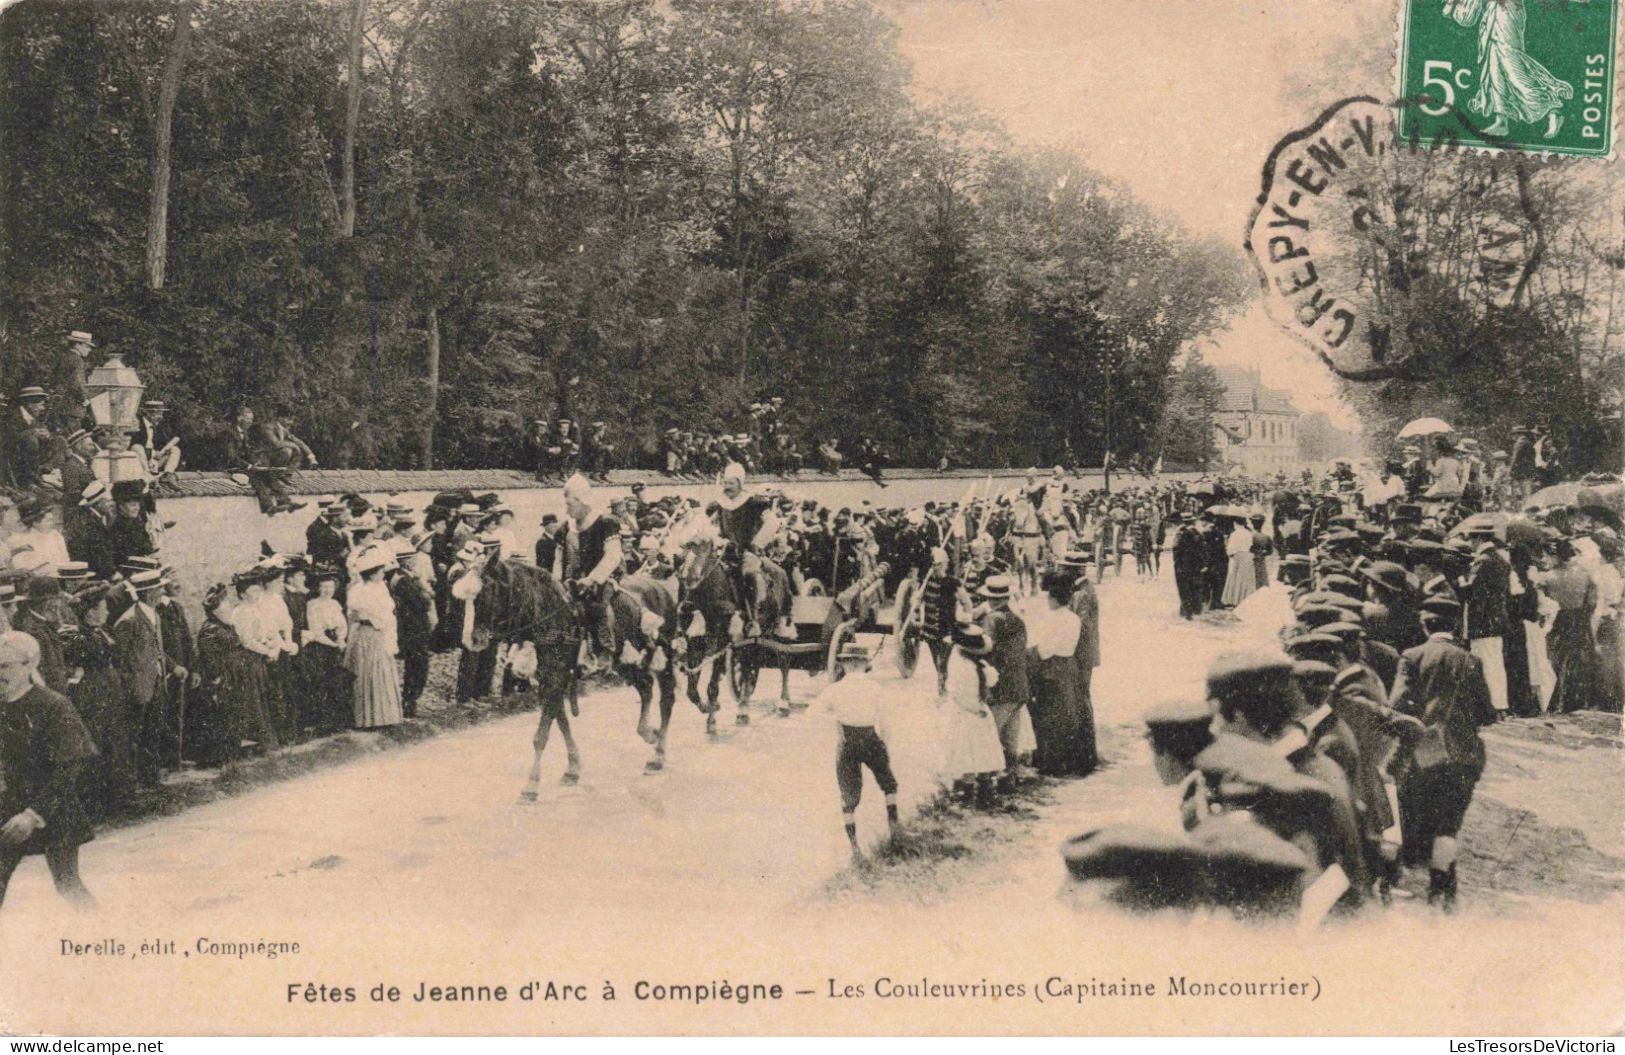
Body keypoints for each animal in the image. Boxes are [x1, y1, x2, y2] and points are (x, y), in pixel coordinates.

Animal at [451, 552, 585, 799]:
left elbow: (541, 735)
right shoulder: (548, 679)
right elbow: (561, 721)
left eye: (484, 593)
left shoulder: (556, 678)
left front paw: (531, 785)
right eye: (464, 600)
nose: (470, 640)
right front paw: (572, 768)